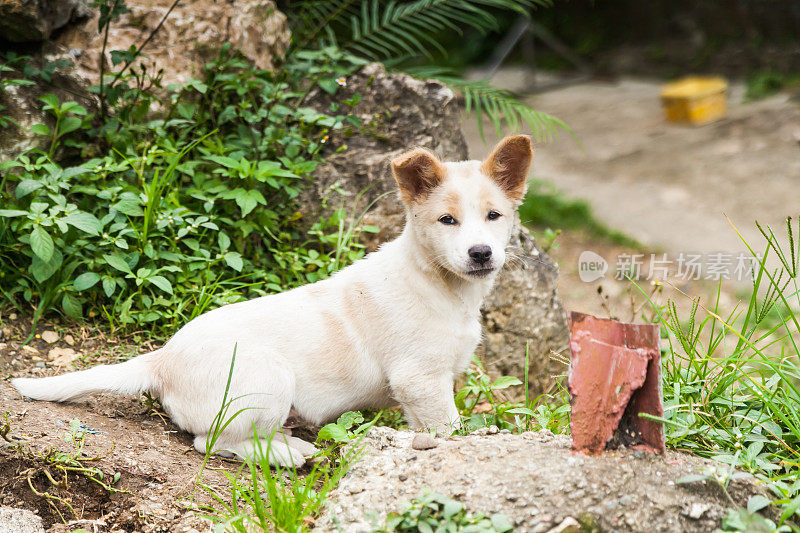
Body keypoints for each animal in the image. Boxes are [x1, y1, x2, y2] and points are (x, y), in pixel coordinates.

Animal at [10, 134, 532, 466]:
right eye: (447, 221)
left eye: (494, 216)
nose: (481, 253)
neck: (440, 283)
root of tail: (162, 360)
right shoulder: (420, 380)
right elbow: (449, 429)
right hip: (267, 379)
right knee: (211, 442)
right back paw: (286, 454)